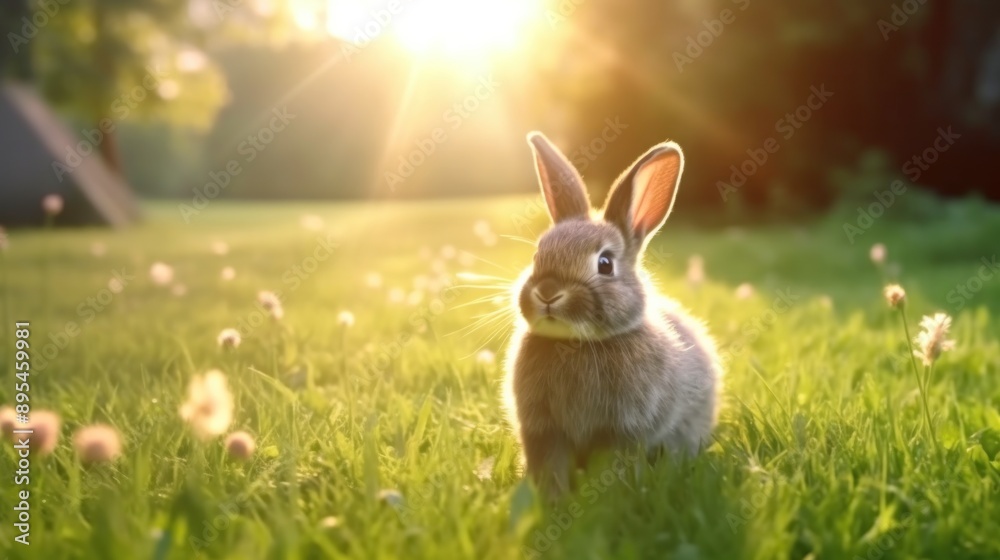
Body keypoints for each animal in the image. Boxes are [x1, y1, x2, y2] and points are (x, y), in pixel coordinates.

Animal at [503, 131, 722, 494]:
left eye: (605, 264)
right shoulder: (543, 429)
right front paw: (551, 498)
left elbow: (609, 465)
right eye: (537, 256)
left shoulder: (622, 429)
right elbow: (550, 465)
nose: (547, 293)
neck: (576, 344)